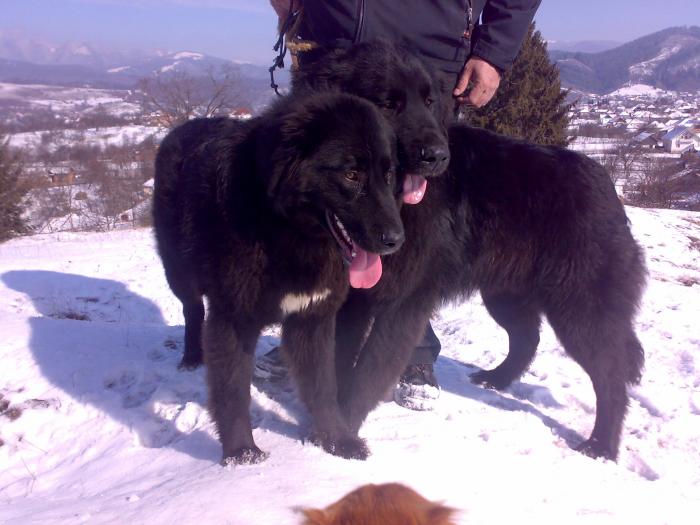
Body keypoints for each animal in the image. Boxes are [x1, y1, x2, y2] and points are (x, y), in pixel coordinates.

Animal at [153, 94, 404, 462]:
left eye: (388, 175)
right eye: (351, 174)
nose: (395, 240)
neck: (285, 231)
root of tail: (186, 125)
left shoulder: (312, 318)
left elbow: (323, 387)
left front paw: (336, 440)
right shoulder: (233, 320)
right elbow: (233, 391)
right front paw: (241, 455)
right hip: (179, 273)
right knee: (192, 310)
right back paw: (191, 357)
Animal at [334, 124, 644, 458]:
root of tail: (608, 189)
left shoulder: (402, 302)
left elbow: (369, 371)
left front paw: (340, 432)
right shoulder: (352, 298)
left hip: (579, 314)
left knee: (610, 379)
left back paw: (601, 445)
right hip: (504, 298)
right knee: (527, 339)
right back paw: (496, 378)